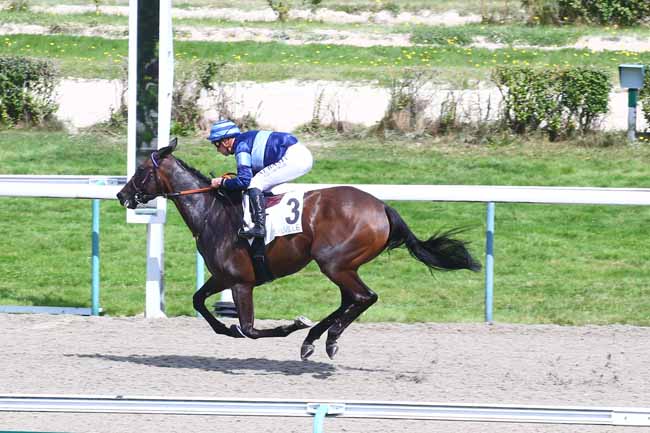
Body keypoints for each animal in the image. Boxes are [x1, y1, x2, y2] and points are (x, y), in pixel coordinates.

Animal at [117, 140, 481, 360]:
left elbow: (250, 329)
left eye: (141, 171)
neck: (213, 211)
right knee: (352, 299)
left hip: (334, 262)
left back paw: (326, 338)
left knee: (365, 297)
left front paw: (289, 326)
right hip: (344, 265)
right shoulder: (222, 276)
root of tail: (382, 207)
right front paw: (225, 328)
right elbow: (198, 302)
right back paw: (316, 340)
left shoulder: (241, 282)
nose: (122, 195)